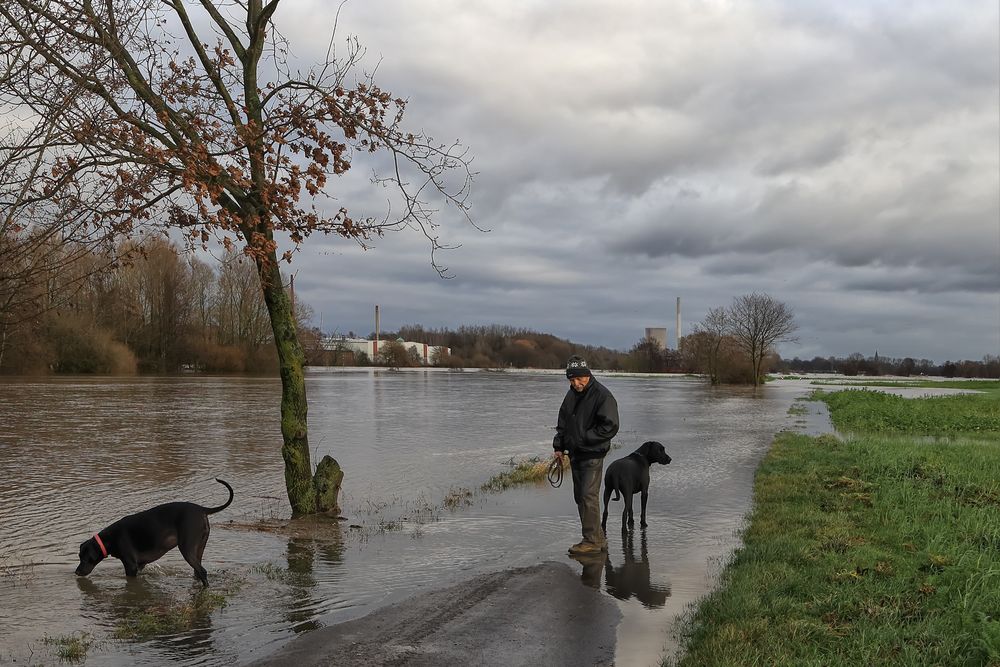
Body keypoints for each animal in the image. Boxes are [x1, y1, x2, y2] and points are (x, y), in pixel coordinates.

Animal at [76, 480, 234, 584]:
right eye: (79, 556)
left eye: (86, 557)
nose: (76, 572)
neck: (111, 538)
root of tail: (202, 509)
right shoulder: (140, 565)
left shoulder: (131, 566)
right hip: (199, 548)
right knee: (198, 572)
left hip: (187, 549)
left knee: (202, 571)